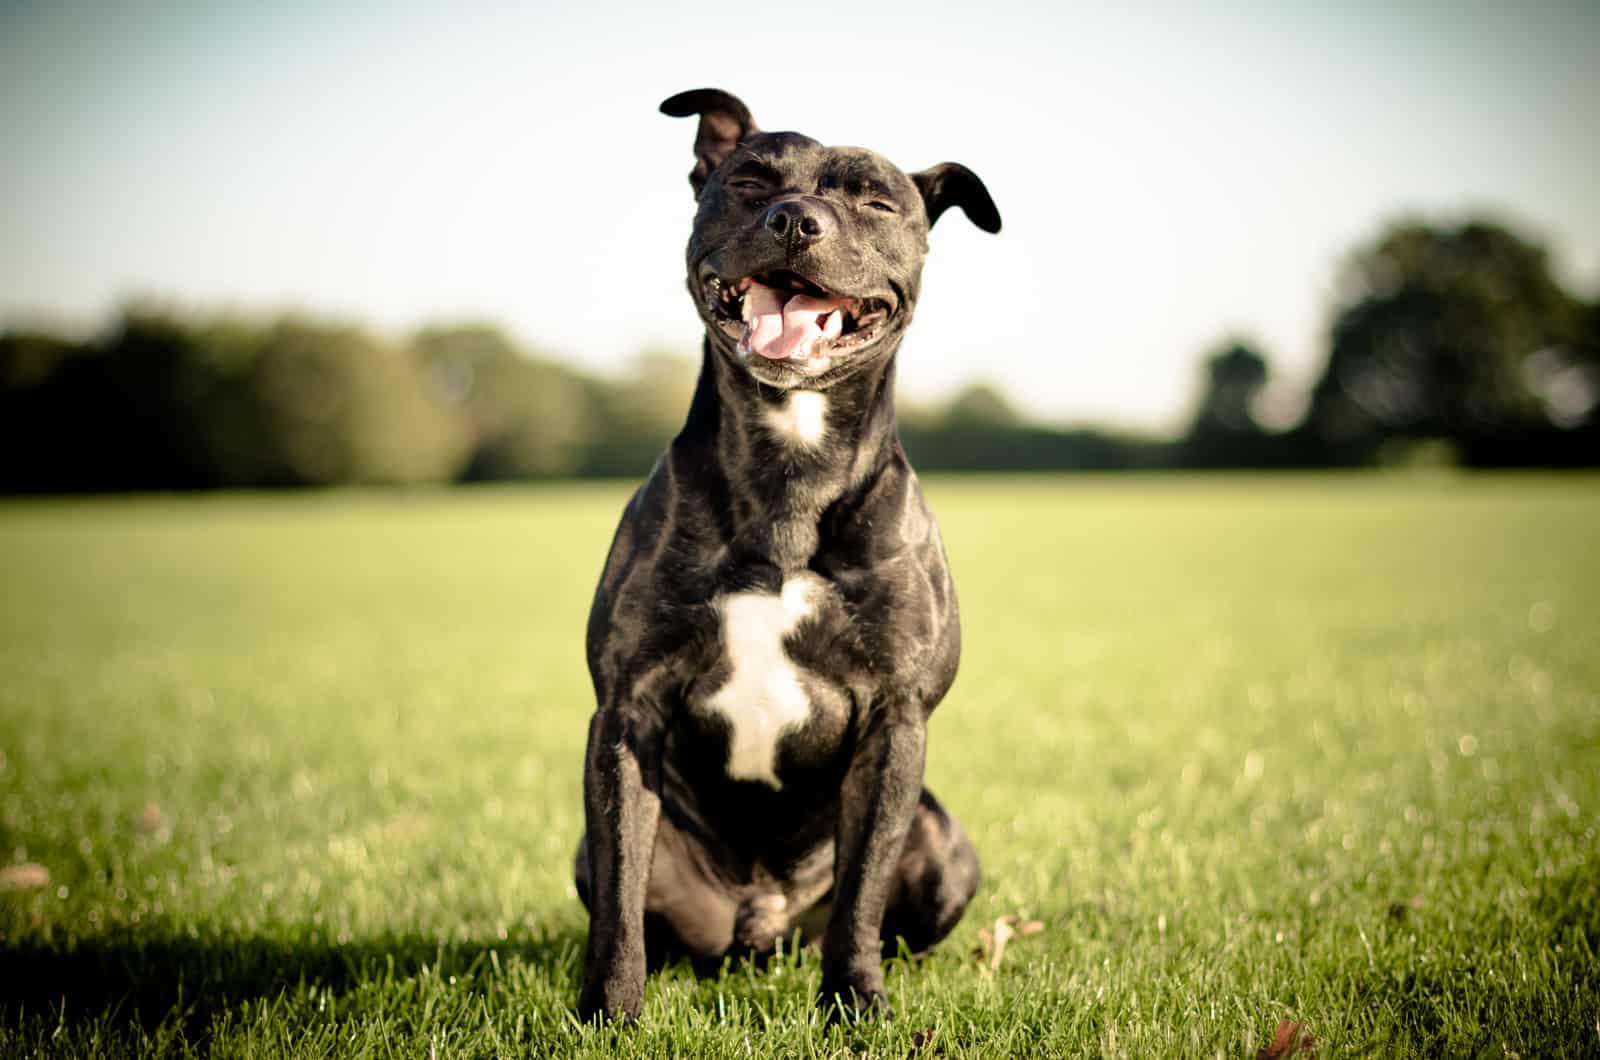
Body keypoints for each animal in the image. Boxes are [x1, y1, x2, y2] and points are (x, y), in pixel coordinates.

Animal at [576, 91, 998, 1031]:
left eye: (876, 201)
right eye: (750, 181)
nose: (796, 220)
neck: (789, 471)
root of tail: (760, 927)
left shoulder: (894, 723)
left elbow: (862, 894)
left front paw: (854, 1001)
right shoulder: (626, 712)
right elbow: (620, 899)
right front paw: (609, 1013)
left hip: (947, 843)